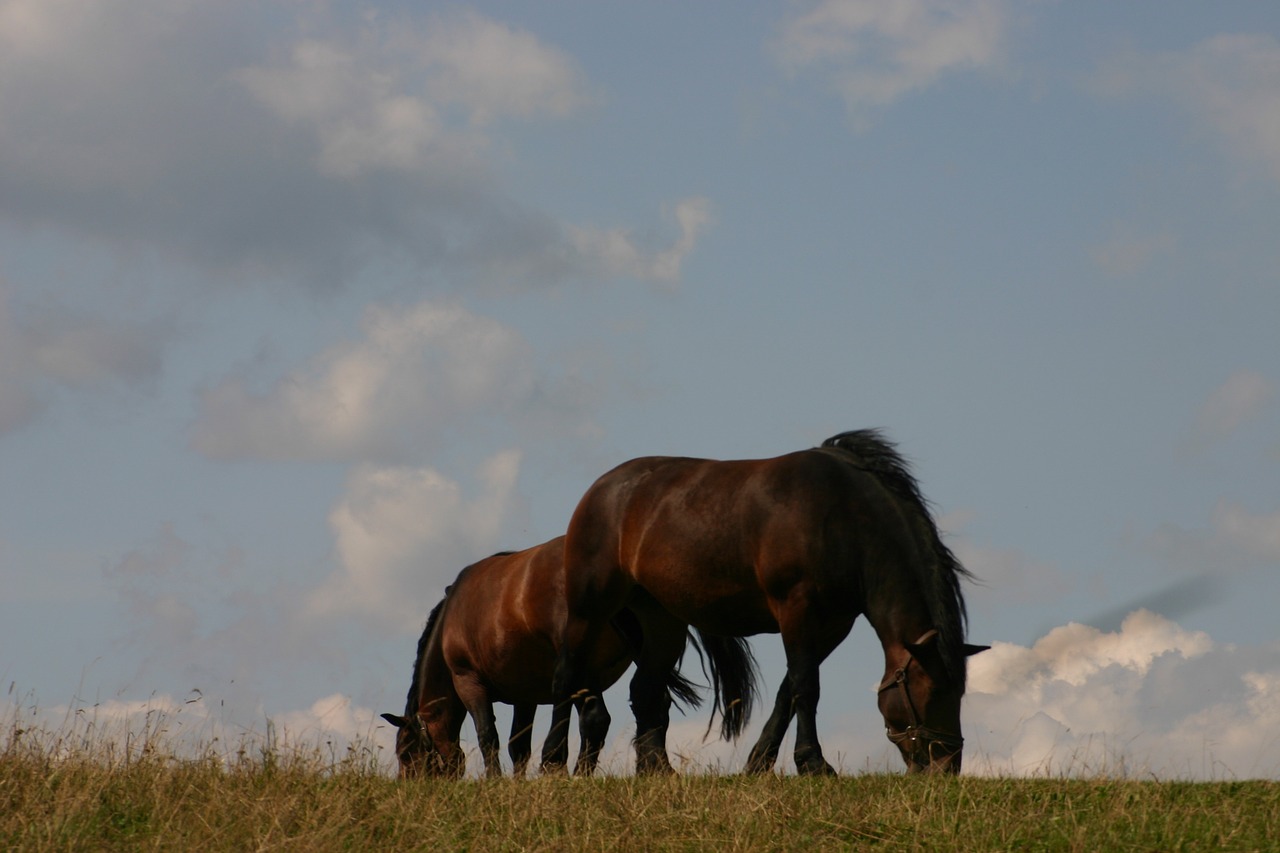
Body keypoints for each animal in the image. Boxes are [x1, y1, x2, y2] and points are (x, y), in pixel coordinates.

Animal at [382, 536, 757, 778]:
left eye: (406, 752)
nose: (409, 786)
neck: (454, 616)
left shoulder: (469, 682)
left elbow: (489, 736)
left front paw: (496, 781)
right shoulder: (525, 695)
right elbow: (519, 744)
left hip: (578, 668)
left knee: (590, 716)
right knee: (641, 707)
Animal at [552, 429, 988, 776]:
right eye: (931, 691)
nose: (947, 766)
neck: (841, 517)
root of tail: (602, 489)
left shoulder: (831, 626)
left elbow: (788, 691)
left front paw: (759, 763)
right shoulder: (797, 610)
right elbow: (806, 687)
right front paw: (813, 763)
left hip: (662, 622)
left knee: (645, 690)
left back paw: (657, 770)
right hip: (590, 608)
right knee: (566, 676)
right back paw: (554, 762)